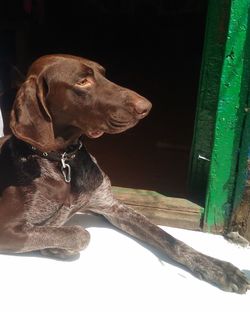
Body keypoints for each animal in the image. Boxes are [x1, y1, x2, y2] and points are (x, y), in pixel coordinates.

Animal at [0, 54, 249, 294]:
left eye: (103, 74)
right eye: (82, 82)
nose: (146, 106)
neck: (63, 161)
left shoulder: (113, 207)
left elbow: (169, 239)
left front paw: (218, 268)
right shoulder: (7, 228)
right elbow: (80, 234)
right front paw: (54, 246)